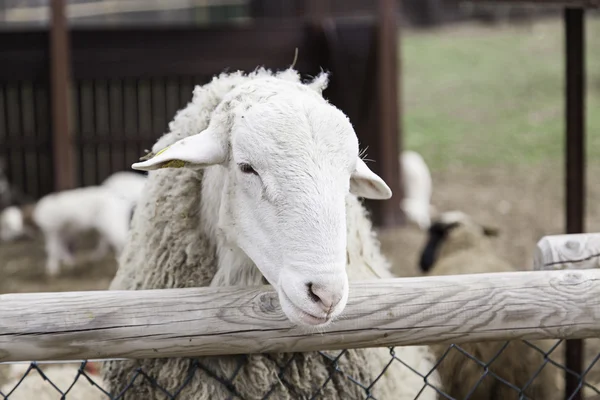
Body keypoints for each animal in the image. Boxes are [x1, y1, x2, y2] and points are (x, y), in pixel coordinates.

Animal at [0, 186, 132, 276]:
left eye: (7, 226)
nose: (14, 235)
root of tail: (121, 200)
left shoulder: (53, 230)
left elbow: (53, 249)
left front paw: (52, 269)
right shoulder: (62, 232)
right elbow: (61, 247)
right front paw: (69, 262)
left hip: (112, 224)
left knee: (122, 240)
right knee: (108, 242)